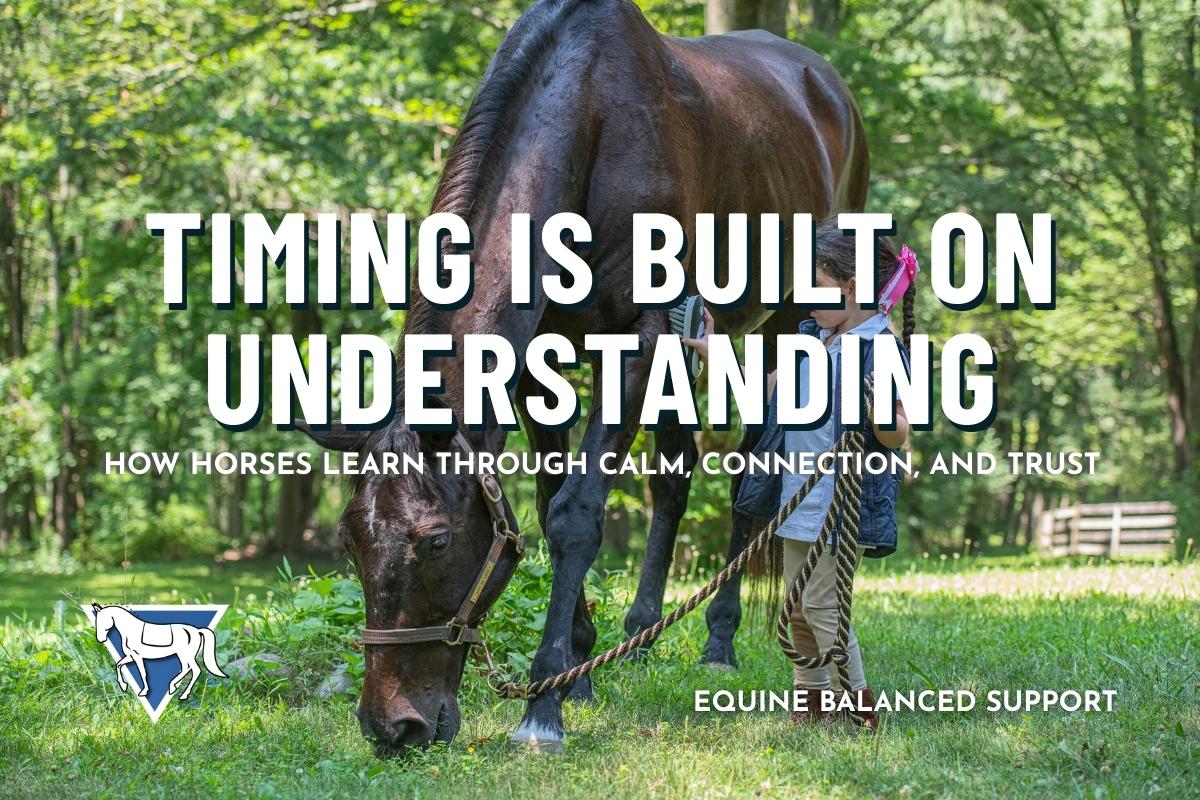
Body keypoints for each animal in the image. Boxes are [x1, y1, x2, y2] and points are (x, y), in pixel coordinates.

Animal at [91, 603, 228, 700]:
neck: (131, 630)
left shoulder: (137, 656)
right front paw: (124, 686)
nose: (100, 639)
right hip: (184, 656)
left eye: (103, 620)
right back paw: (173, 687)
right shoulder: (130, 656)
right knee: (186, 668)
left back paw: (181, 693)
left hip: (185, 655)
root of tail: (197, 630)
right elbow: (119, 665)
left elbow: (143, 673)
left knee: (195, 670)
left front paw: (143, 691)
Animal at [298, 0, 868, 756]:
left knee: (754, 479)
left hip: (785, 324)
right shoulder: (542, 360)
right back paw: (640, 634)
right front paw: (579, 668)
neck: (588, 119)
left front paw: (545, 703)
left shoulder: (638, 341)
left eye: (436, 541)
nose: (393, 725)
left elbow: (576, 515)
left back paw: (718, 640)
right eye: (351, 540)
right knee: (674, 477)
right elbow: (548, 504)